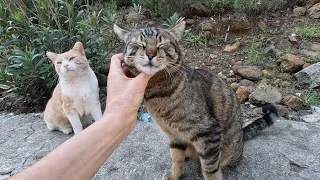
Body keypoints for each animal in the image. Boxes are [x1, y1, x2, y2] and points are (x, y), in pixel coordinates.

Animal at [114, 21, 278, 179]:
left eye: (162, 45)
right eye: (140, 44)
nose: (150, 54)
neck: (156, 92)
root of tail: (241, 136)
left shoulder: (208, 132)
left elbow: (211, 171)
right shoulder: (174, 135)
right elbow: (176, 158)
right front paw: (174, 175)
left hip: (230, 149)